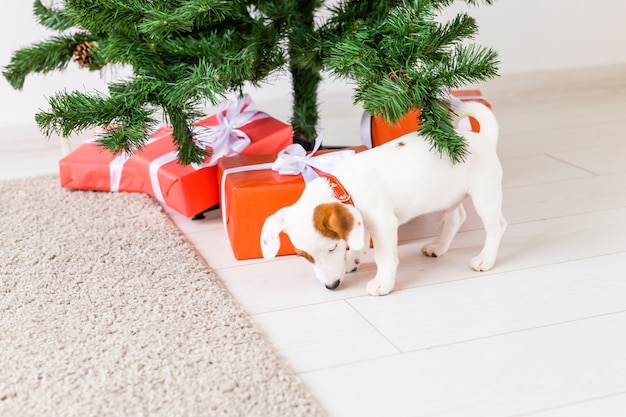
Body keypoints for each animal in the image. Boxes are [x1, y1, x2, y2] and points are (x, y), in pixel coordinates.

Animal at [260, 101, 504, 296]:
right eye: (304, 256)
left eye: (332, 248)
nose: (332, 286)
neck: (345, 186)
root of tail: (482, 138)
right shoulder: (361, 221)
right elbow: (358, 241)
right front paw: (353, 259)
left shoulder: (383, 224)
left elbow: (384, 257)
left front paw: (382, 282)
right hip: (446, 197)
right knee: (456, 218)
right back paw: (439, 247)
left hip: (485, 196)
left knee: (497, 227)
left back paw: (485, 259)